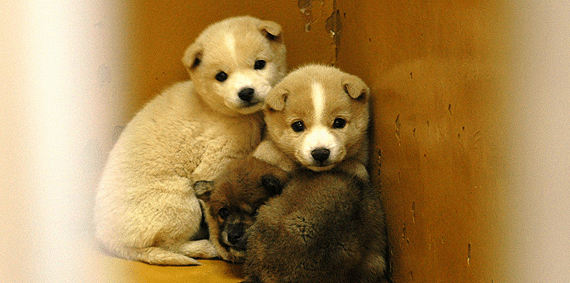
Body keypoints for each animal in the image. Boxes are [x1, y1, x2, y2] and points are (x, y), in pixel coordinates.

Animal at [96, 16, 288, 266]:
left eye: (260, 64)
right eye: (221, 76)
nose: (246, 92)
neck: (219, 109)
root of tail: (111, 244)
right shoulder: (214, 165)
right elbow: (214, 212)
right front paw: (223, 247)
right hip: (181, 201)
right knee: (171, 245)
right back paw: (205, 248)